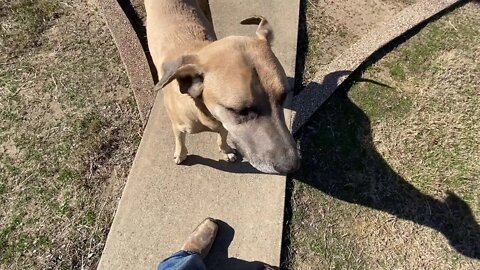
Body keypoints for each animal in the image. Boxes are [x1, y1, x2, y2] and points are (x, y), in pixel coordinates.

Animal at [146, 0, 298, 174]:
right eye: (241, 111)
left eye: (283, 96)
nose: (291, 166)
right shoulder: (178, 126)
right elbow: (180, 140)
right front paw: (180, 154)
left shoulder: (223, 122)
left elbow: (223, 135)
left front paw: (225, 150)